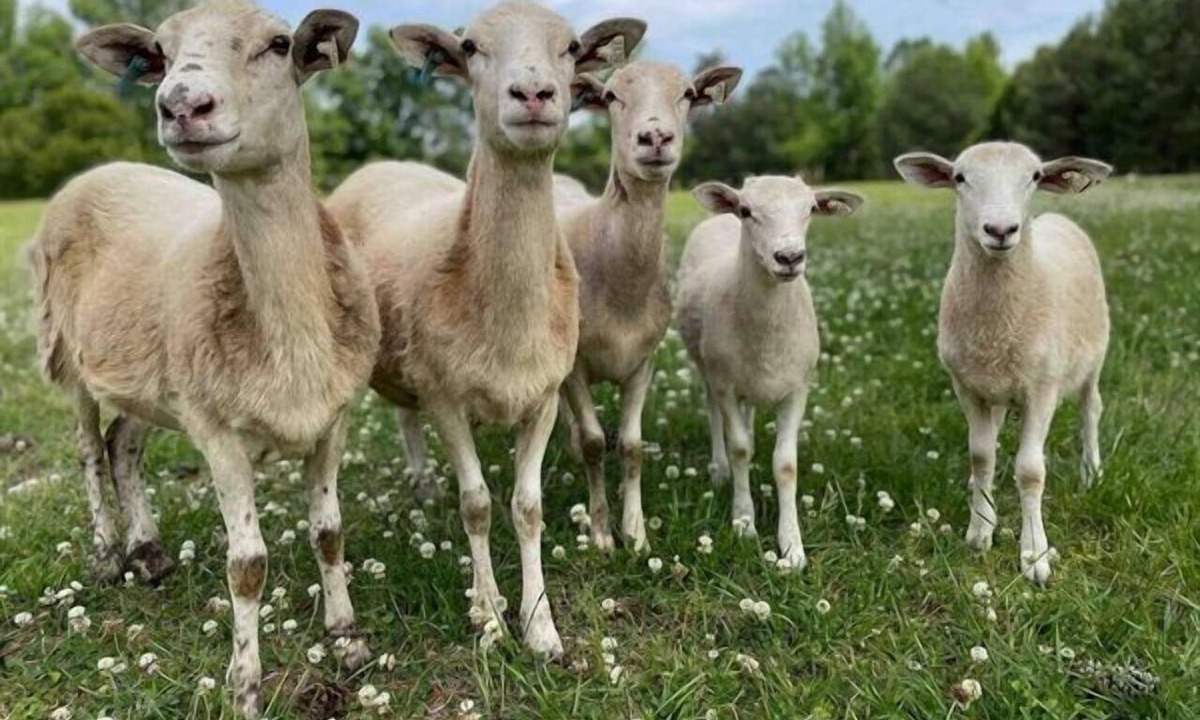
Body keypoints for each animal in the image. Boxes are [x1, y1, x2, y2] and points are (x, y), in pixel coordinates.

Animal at [27, 4, 378, 715]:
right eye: (160, 54)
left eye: (280, 44)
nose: (182, 105)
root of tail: (102, 169)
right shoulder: (218, 434)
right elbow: (246, 567)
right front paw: (245, 686)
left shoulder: (334, 418)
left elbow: (329, 533)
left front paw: (347, 641)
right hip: (70, 350)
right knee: (88, 448)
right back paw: (107, 554)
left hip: (151, 369)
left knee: (122, 443)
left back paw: (149, 550)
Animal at [327, 1, 646, 657]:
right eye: (470, 47)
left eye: (571, 47)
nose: (533, 93)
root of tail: (380, 167)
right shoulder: (445, 394)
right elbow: (476, 505)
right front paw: (491, 617)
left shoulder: (545, 395)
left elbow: (527, 507)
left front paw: (541, 625)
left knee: (405, 415)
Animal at [554, 61, 742, 552]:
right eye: (611, 96)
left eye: (689, 94)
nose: (655, 137)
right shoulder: (576, 364)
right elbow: (595, 444)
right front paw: (602, 534)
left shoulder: (643, 361)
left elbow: (632, 446)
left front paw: (636, 533)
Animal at [678, 176, 863, 570]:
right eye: (747, 210)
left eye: (811, 209)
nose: (789, 257)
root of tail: (719, 218)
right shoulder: (725, 383)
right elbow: (739, 450)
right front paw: (744, 522)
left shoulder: (798, 389)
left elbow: (786, 465)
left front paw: (792, 546)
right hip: (707, 367)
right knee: (714, 413)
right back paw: (719, 470)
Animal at [894, 141, 1113, 586]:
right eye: (960, 177)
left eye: (1034, 176)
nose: (1000, 230)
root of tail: (1057, 217)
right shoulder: (967, 387)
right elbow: (981, 455)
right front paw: (980, 529)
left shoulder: (1042, 388)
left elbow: (1030, 470)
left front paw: (1034, 556)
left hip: (1094, 355)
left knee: (1091, 410)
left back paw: (1091, 472)